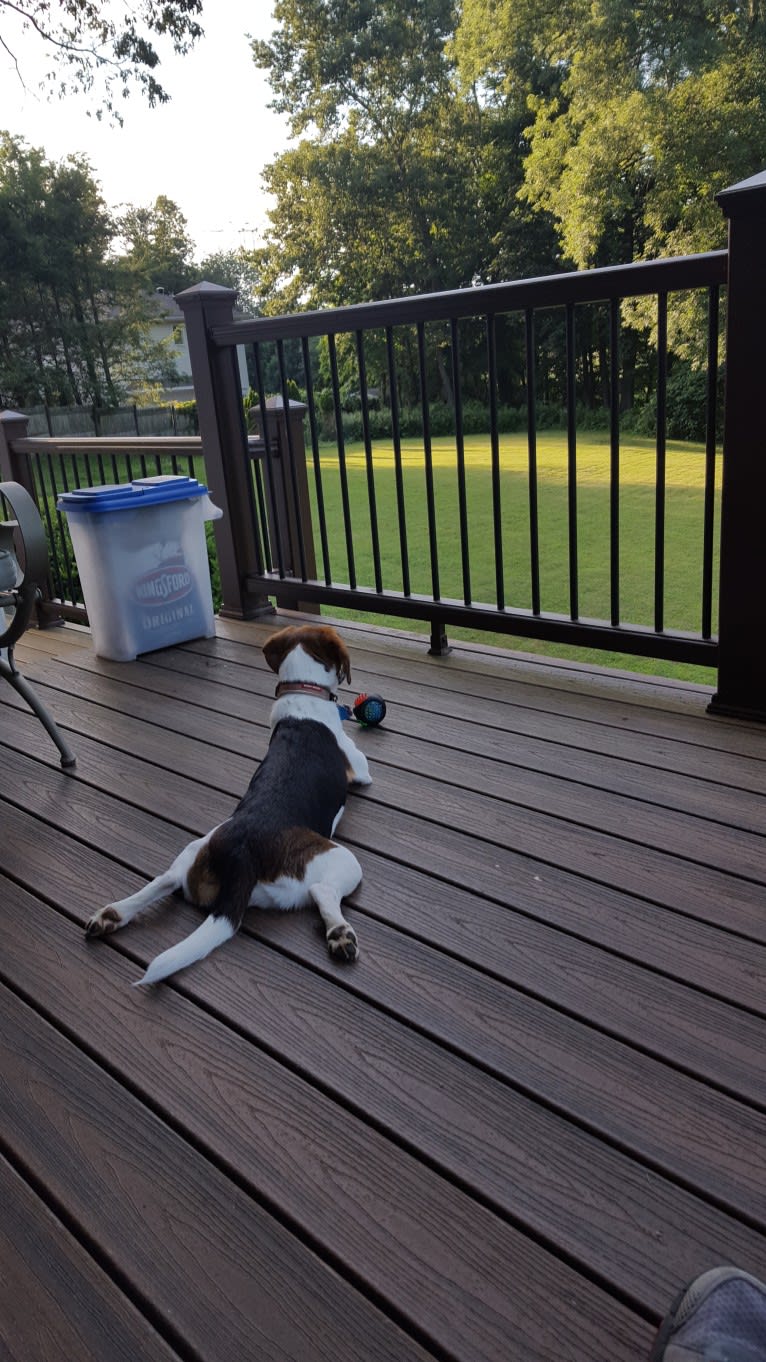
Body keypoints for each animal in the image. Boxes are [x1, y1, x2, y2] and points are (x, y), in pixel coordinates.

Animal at [83, 623, 370, 986]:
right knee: (322, 890)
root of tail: (239, 854)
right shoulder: (360, 769)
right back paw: (340, 934)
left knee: (165, 880)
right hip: (338, 860)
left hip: (195, 852)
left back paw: (111, 914)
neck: (303, 692)